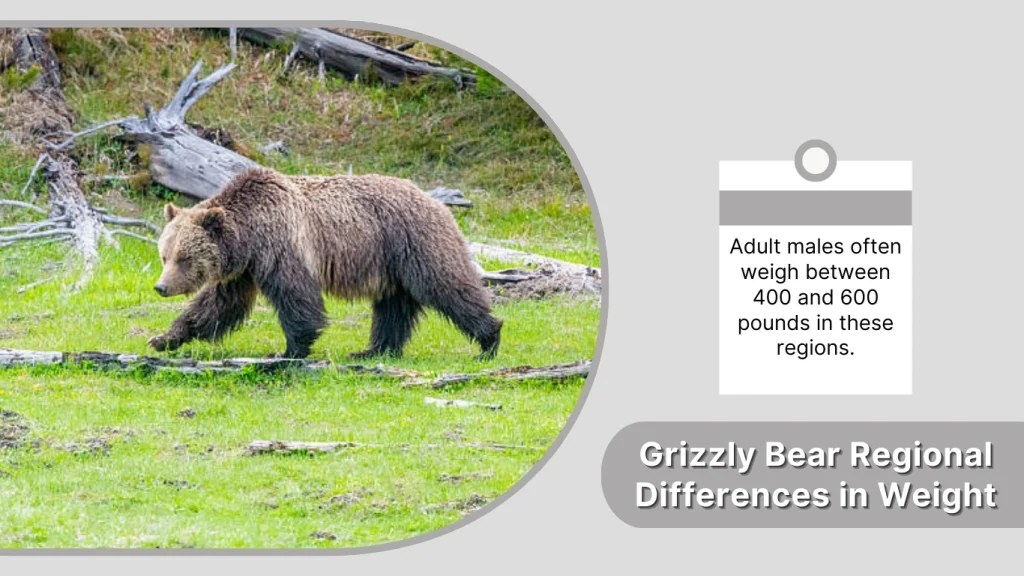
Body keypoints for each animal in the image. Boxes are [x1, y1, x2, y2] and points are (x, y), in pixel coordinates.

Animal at [147, 166, 503, 361]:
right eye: (165, 255)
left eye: (184, 258)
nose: (161, 287)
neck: (248, 234)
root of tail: (434, 199)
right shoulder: (243, 269)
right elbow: (218, 305)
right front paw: (165, 338)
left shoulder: (282, 246)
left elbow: (295, 296)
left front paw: (290, 349)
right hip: (390, 262)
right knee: (393, 307)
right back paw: (374, 349)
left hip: (413, 241)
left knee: (446, 285)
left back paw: (489, 337)